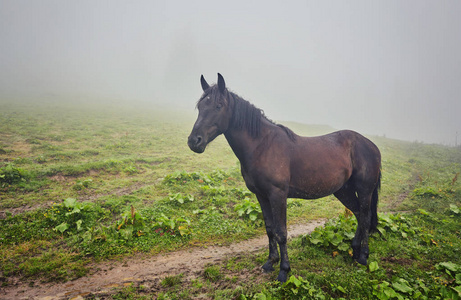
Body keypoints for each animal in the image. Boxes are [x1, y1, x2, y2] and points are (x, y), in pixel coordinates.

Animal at [187, 74, 380, 282]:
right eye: (200, 106)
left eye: (219, 105)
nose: (194, 141)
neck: (262, 146)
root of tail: (371, 145)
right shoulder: (261, 195)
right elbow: (270, 229)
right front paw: (270, 262)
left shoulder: (277, 195)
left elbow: (281, 232)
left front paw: (284, 270)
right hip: (343, 191)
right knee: (359, 214)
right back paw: (354, 250)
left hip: (365, 190)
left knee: (366, 217)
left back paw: (363, 256)